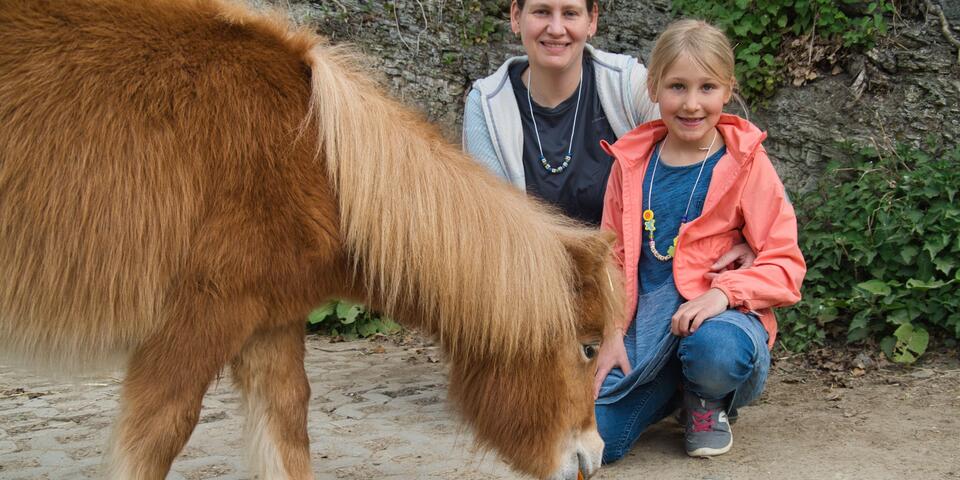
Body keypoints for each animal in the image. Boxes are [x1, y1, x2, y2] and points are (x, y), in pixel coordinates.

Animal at [0, 0, 623, 478]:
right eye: (588, 347)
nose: (591, 456)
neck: (319, 163)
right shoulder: (196, 323)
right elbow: (156, 436)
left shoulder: (267, 321)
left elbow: (288, 428)